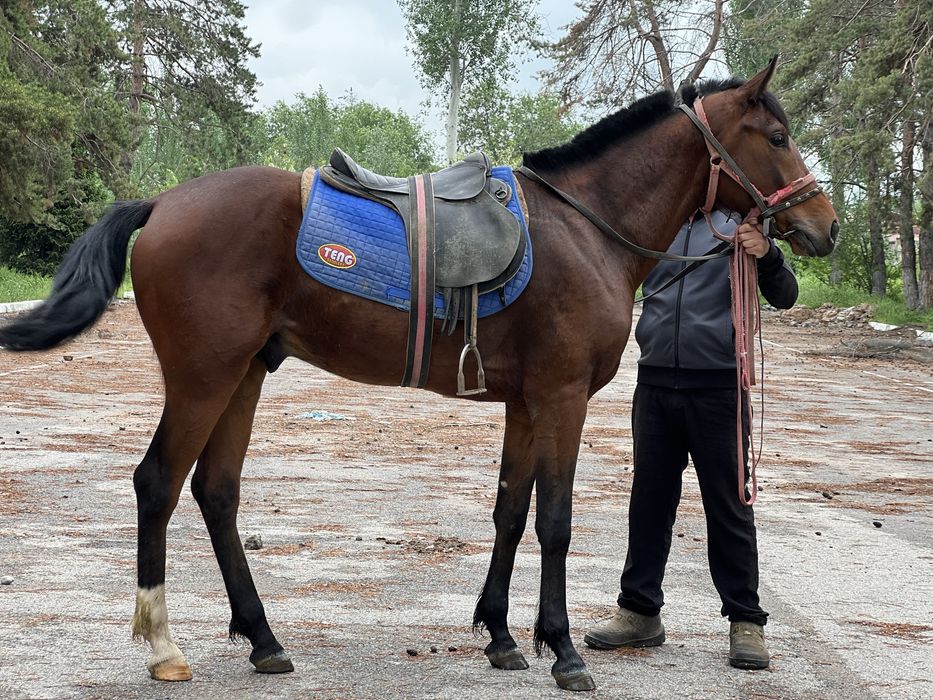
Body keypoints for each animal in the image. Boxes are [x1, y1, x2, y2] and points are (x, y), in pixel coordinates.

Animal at [0, 59, 836, 692]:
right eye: (776, 136)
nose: (823, 225)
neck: (584, 227)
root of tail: (162, 202)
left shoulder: (525, 404)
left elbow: (509, 511)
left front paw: (500, 635)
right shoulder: (561, 399)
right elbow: (556, 522)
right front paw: (562, 651)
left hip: (244, 376)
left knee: (215, 492)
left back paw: (264, 639)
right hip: (203, 377)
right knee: (158, 484)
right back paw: (165, 645)